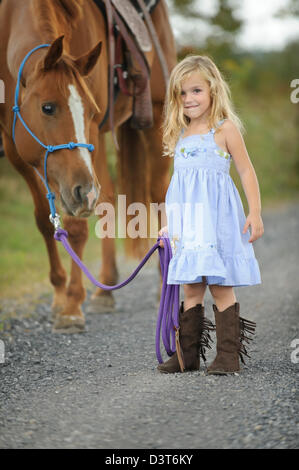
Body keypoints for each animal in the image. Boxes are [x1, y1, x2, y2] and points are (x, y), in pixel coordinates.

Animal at [0, 0, 177, 332]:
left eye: (91, 111)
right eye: (47, 107)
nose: (83, 192)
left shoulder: (91, 135)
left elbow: (76, 227)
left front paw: (71, 305)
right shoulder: (17, 147)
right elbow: (46, 221)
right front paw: (59, 295)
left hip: (158, 116)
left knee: (159, 195)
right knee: (106, 196)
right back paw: (104, 290)